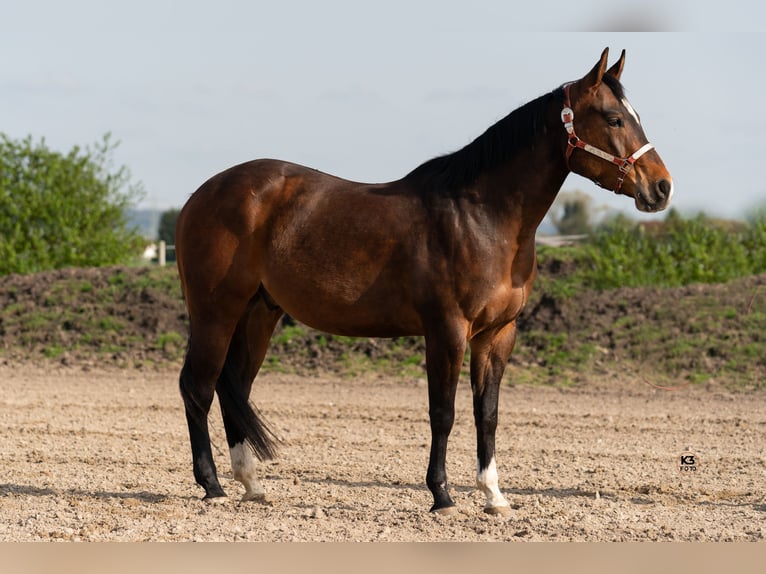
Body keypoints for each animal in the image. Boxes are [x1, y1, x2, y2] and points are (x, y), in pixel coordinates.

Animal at [174, 48, 672, 516]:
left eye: (636, 116)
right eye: (613, 118)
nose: (662, 187)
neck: (481, 216)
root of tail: (200, 195)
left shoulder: (497, 334)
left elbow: (487, 413)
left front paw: (494, 495)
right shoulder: (447, 330)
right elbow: (443, 413)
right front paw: (442, 495)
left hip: (258, 313)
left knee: (233, 386)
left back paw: (251, 485)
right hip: (215, 312)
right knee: (198, 388)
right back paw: (212, 486)